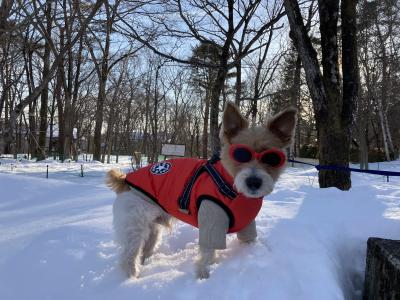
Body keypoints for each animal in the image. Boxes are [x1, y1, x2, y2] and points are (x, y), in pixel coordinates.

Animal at [107, 102, 296, 278]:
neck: (231, 187)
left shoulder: (248, 225)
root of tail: (124, 180)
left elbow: (248, 241)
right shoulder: (211, 222)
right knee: (128, 257)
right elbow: (207, 255)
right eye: (240, 155)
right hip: (134, 229)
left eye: (271, 158)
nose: (254, 182)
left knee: (145, 249)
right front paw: (203, 275)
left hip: (153, 229)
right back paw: (133, 277)